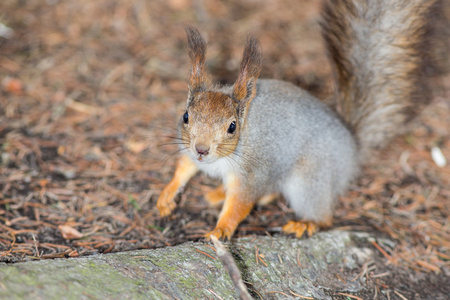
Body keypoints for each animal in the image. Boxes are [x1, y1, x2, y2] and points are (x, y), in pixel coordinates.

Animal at [156, 0, 436, 239]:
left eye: (232, 127)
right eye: (185, 116)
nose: (201, 149)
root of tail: (352, 146)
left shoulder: (251, 176)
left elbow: (239, 205)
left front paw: (220, 229)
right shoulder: (187, 149)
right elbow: (184, 167)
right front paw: (166, 196)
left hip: (311, 179)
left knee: (322, 215)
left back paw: (306, 223)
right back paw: (216, 194)